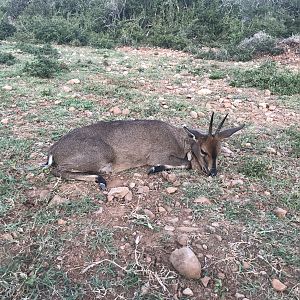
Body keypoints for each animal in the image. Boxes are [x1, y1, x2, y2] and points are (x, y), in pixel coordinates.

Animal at [45, 113, 245, 190]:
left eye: (218, 150)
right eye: (203, 151)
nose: (212, 172)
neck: (179, 140)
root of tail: (54, 149)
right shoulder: (157, 155)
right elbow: (187, 163)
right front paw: (153, 169)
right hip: (99, 156)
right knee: (58, 170)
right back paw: (100, 179)